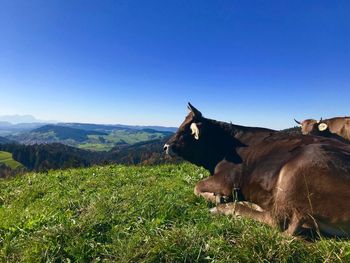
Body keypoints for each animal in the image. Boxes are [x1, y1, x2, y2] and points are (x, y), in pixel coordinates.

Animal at [164, 104, 350, 239]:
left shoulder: (226, 180)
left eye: (184, 130)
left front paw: (217, 198)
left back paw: (225, 208)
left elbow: (196, 187)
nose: (165, 146)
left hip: (295, 171)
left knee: (277, 220)